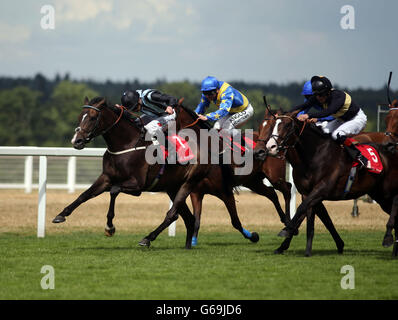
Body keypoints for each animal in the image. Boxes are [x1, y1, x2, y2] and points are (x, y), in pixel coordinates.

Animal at [253, 110, 398, 258]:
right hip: (380, 195)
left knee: (396, 206)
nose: (268, 148)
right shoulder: (308, 193)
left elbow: (302, 210)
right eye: (272, 126)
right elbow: (315, 217)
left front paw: (287, 230)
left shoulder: (322, 189)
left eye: (287, 125)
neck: (314, 155)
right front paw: (295, 247)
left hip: (388, 190)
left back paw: (388, 238)